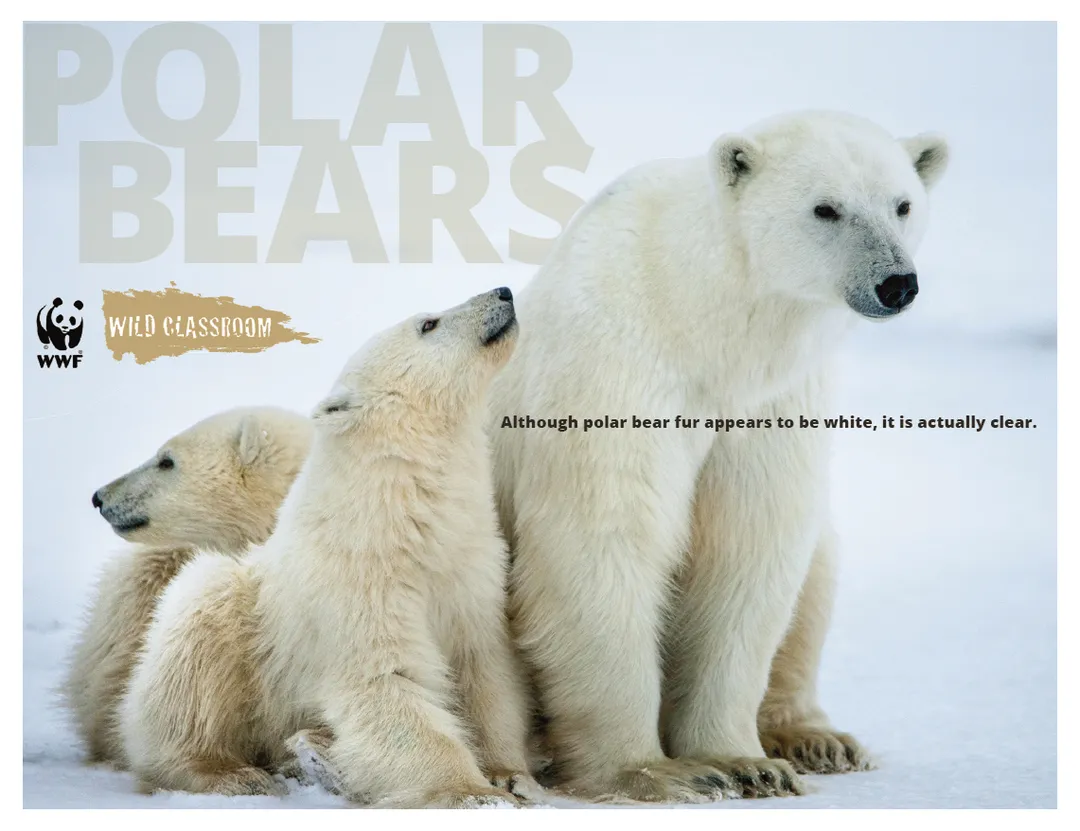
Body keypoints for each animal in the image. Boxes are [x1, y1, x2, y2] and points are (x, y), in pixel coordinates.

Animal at [118, 288, 536, 808]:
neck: (402, 512)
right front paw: (471, 792)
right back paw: (233, 774)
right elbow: (383, 681)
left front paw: (510, 776)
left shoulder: (471, 568)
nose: (502, 291)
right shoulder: (360, 579)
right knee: (190, 670)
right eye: (428, 324)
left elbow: (484, 671)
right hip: (235, 620)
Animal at [486, 110, 949, 802]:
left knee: (818, 567)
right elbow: (604, 540)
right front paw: (656, 770)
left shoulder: (770, 403)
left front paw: (746, 763)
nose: (896, 283)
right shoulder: (618, 369)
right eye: (826, 208)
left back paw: (815, 738)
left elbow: (749, 546)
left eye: (902, 204)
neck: (702, 320)